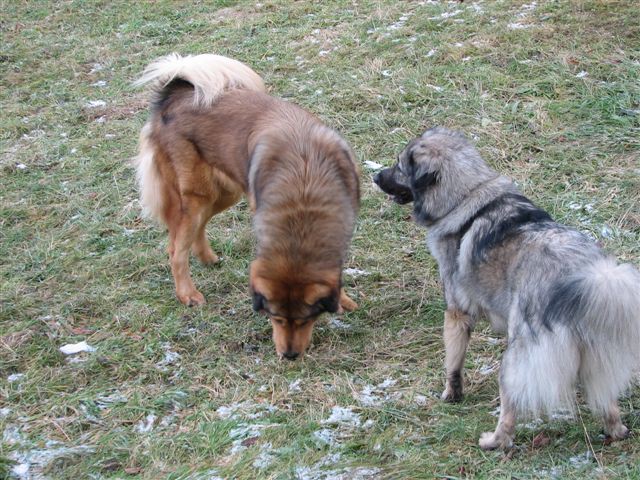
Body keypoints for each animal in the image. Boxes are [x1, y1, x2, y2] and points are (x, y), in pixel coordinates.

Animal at [134, 54, 360, 358]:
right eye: (275, 318)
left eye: (306, 320)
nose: (289, 356)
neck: (304, 189)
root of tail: (175, 95)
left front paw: (343, 301)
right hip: (196, 196)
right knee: (176, 249)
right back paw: (187, 294)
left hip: (224, 192)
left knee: (196, 230)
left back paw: (208, 258)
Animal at [376, 127, 640, 450]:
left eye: (400, 166)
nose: (375, 176)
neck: (466, 195)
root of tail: (581, 274)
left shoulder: (456, 313)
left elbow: (453, 364)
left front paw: (451, 395)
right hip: (594, 360)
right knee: (608, 406)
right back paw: (616, 431)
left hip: (514, 362)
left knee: (510, 409)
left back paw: (494, 441)